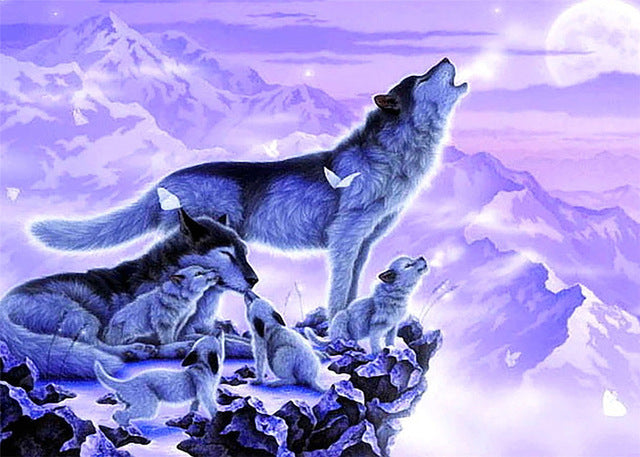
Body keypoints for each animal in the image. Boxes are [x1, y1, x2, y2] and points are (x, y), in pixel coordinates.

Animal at [0, 209, 257, 379]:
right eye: (227, 254)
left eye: (244, 253)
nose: (254, 280)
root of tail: (4, 305)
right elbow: (231, 343)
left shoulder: (203, 328)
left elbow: (234, 337)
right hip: (84, 316)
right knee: (97, 346)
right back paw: (139, 351)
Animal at [31, 58, 467, 318]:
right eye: (423, 77)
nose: (446, 59)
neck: (393, 157)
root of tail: (163, 181)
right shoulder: (346, 238)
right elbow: (339, 289)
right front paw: (336, 323)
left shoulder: (364, 243)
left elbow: (354, 285)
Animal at [95, 333, 224, 425]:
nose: (215, 334)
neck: (202, 366)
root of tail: (127, 382)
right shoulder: (206, 395)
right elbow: (212, 407)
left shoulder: (197, 398)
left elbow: (194, 407)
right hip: (148, 405)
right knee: (120, 414)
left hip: (133, 403)